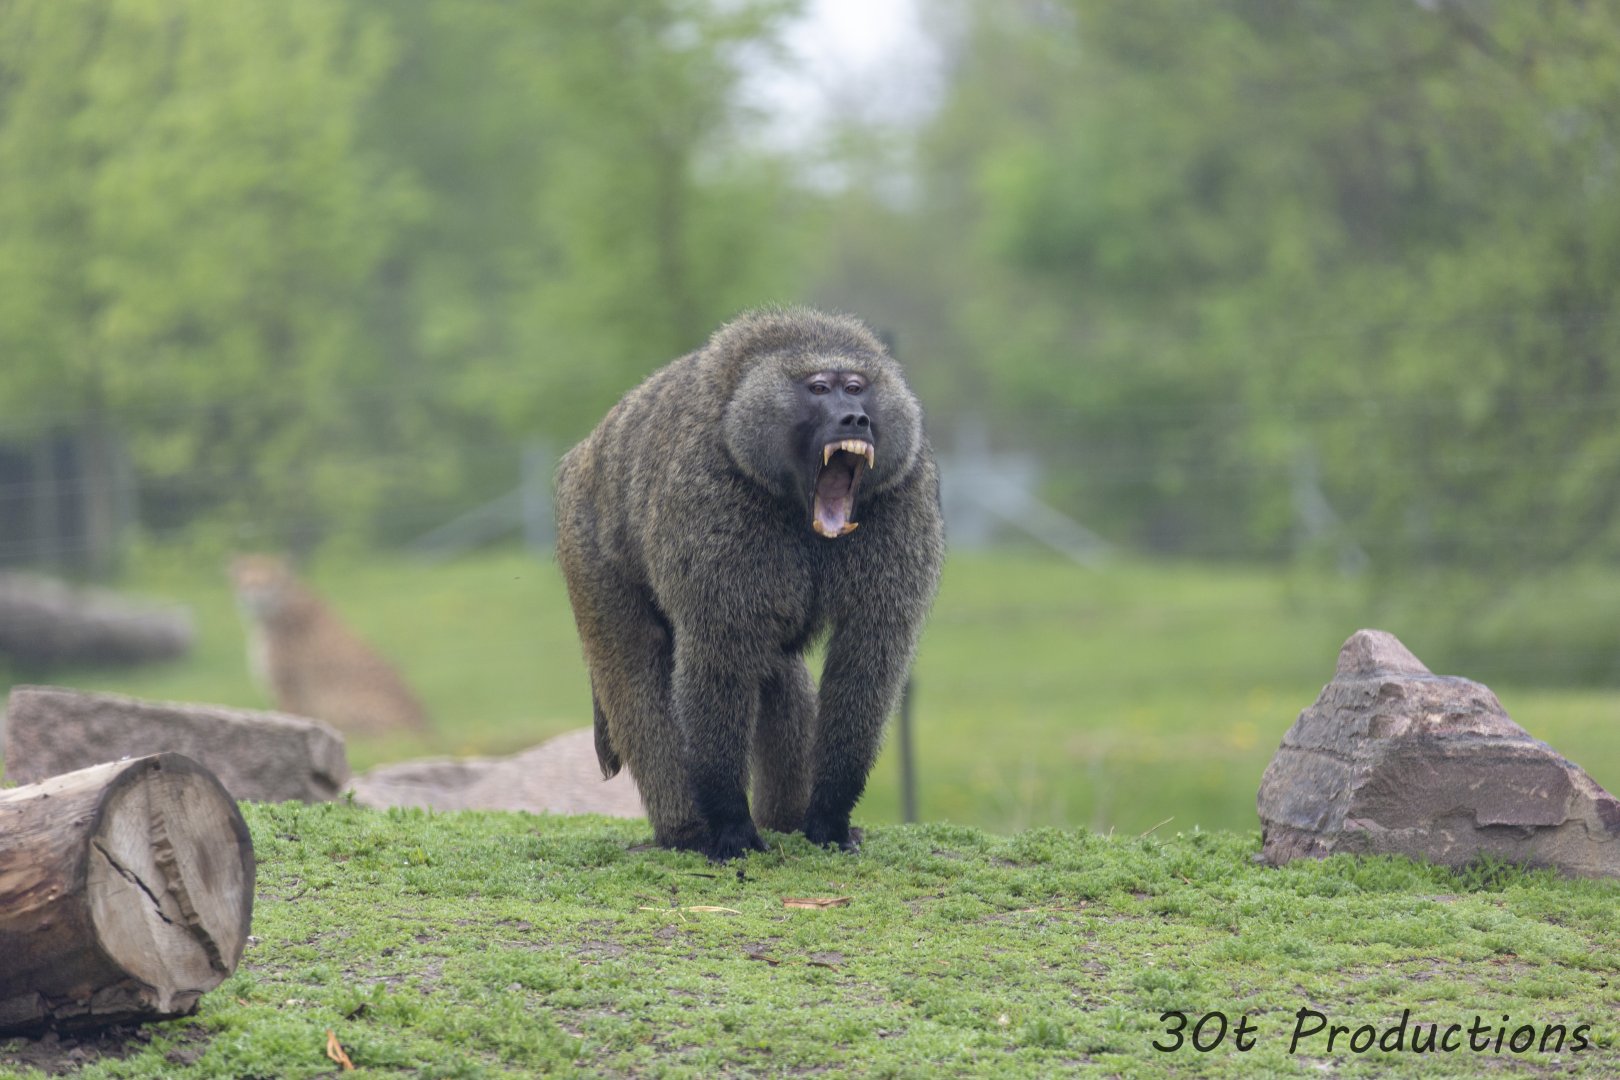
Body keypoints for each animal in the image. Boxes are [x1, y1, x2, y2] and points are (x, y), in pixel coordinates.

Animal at [228, 554, 431, 736]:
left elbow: (288, 716)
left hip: (343, 704)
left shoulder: (289, 690)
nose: (256, 597)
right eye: (248, 583)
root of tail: (428, 730)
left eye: (269, 582)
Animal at [554, 307, 944, 861]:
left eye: (856, 387)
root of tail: (587, 450)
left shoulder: (902, 496)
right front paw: (731, 826)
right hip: (587, 544)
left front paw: (829, 817)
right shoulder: (712, 499)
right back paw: (684, 831)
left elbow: (868, 656)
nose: (856, 418)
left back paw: (785, 820)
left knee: (777, 673)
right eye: (820, 389)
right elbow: (718, 656)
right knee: (638, 675)